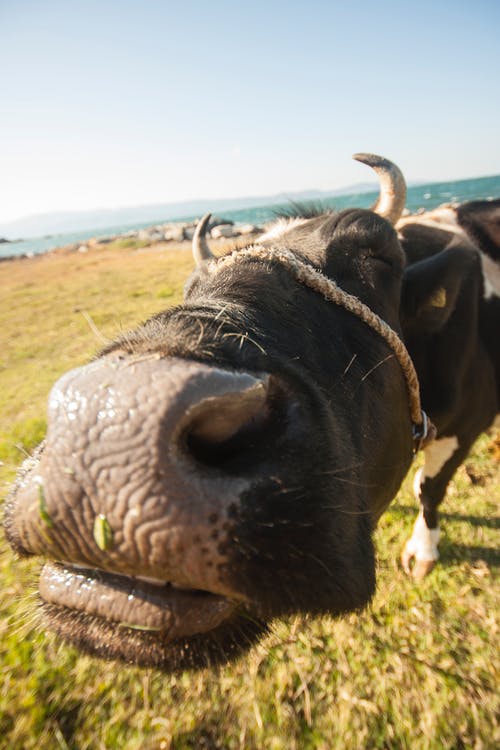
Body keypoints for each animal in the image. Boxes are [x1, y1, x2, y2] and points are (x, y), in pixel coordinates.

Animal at [2, 154, 496, 676]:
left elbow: (430, 488)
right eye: (191, 284)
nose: (112, 420)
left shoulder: (469, 424)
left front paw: (422, 551)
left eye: (381, 260)